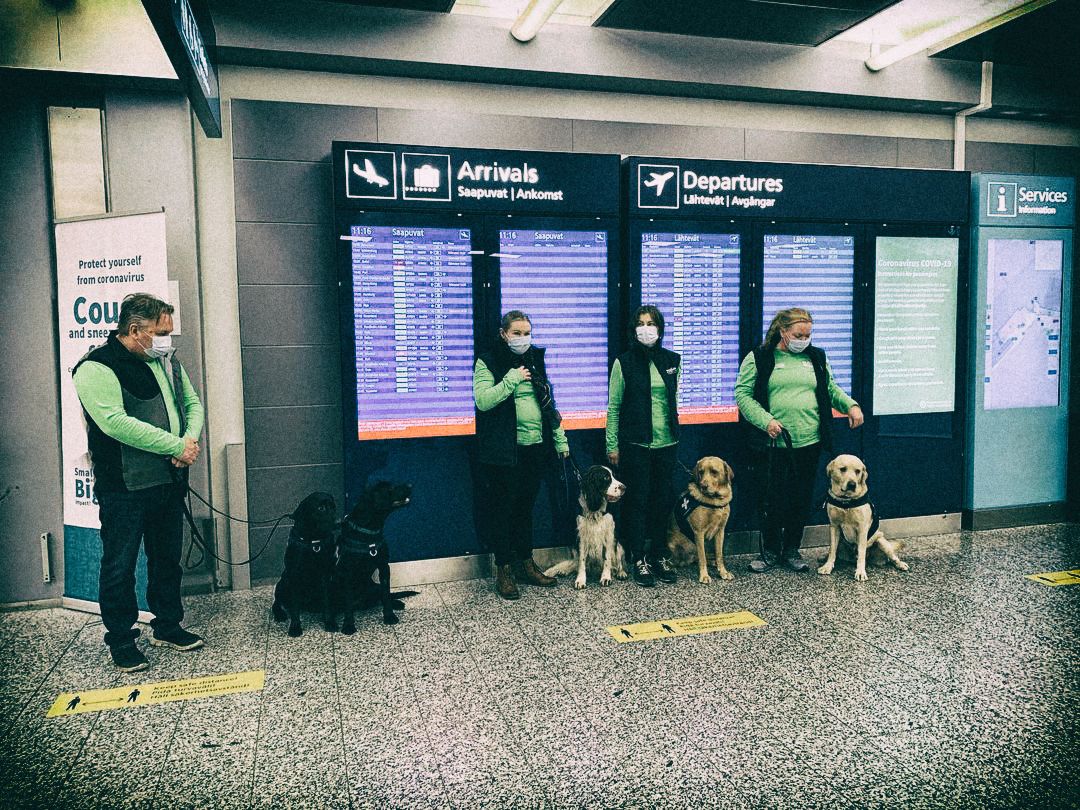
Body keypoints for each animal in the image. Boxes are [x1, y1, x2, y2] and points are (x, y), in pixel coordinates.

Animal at [270, 492, 336, 639]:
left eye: (334, 507)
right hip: (283, 582)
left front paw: (329, 622)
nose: (338, 522)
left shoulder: (325, 576)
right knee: (276, 603)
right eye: (321, 508)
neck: (313, 542)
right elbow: (295, 607)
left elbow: (327, 602)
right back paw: (280, 614)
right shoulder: (294, 577)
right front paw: (295, 627)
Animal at [334, 481, 410, 635]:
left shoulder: (384, 567)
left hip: (374, 587)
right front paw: (348, 625)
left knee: (381, 595)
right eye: (390, 488)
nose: (410, 485)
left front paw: (389, 616)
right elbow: (348, 602)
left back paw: (396, 603)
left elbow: (386, 594)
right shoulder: (348, 573)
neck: (368, 531)